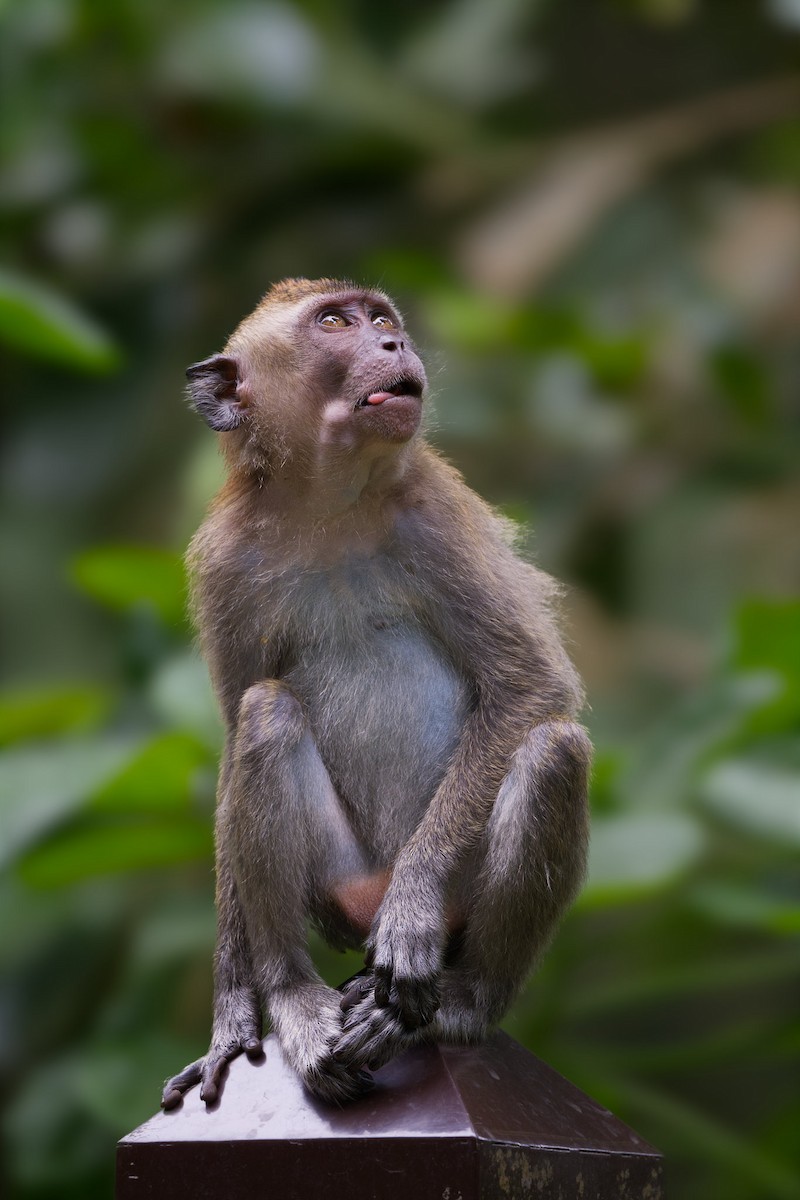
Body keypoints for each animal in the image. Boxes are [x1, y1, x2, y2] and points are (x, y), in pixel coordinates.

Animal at [161, 277, 591, 1109]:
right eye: (335, 322)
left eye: (383, 319)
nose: (395, 344)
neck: (328, 502)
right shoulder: (224, 557)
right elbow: (232, 734)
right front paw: (231, 1019)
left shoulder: (437, 512)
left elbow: (530, 684)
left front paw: (414, 911)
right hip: (341, 886)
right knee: (265, 713)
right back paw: (293, 997)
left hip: (459, 889)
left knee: (553, 750)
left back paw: (462, 999)